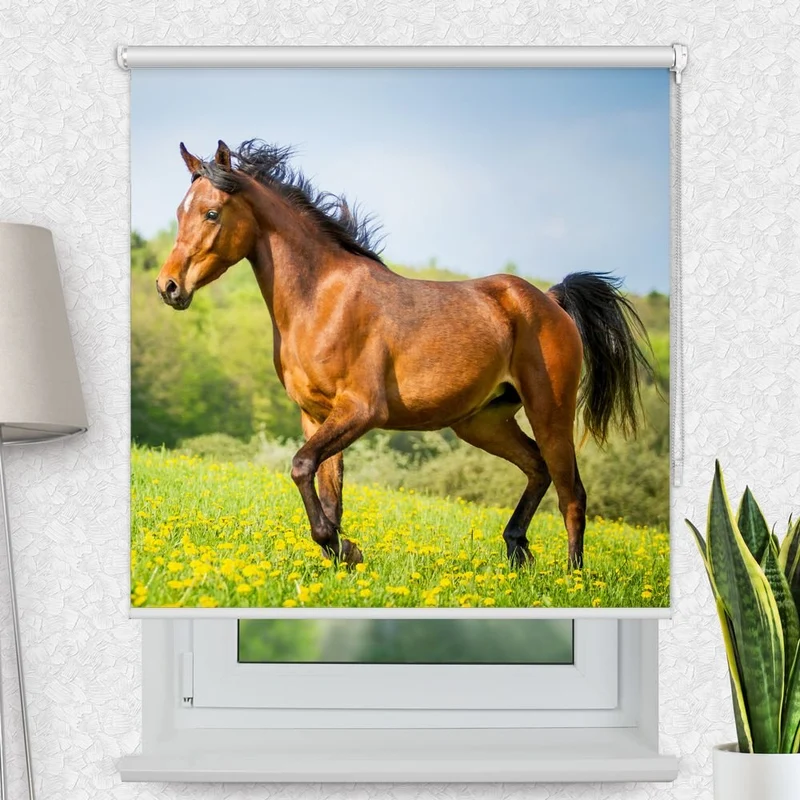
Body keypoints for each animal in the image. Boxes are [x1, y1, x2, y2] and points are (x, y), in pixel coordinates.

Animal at [156, 139, 655, 569]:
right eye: (180, 213)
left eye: (212, 213)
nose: (169, 287)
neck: (321, 299)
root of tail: (550, 302)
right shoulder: (316, 416)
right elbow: (327, 490)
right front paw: (342, 555)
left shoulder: (360, 410)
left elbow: (301, 468)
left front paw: (342, 549)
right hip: (483, 422)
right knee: (538, 469)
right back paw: (518, 552)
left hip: (550, 410)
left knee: (572, 493)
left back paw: (573, 577)